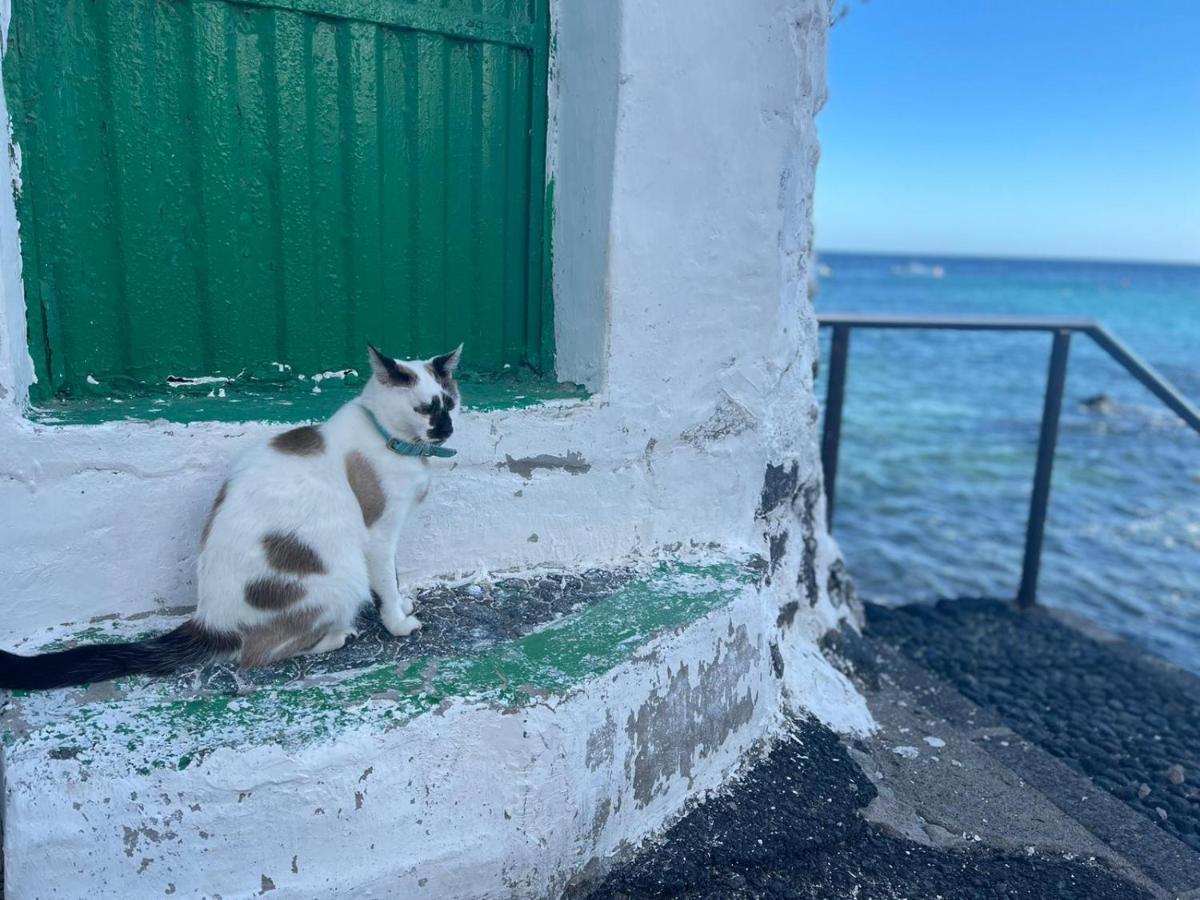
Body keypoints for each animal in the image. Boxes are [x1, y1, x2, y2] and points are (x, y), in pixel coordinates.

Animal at [0, 345, 460, 691]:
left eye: (451, 404)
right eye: (424, 409)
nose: (446, 430)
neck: (399, 444)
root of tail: (208, 620)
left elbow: (394, 578)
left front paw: (401, 601)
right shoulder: (379, 534)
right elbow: (386, 581)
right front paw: (398, 622)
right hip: (344, 575)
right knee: (258, 654)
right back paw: (337, 635)